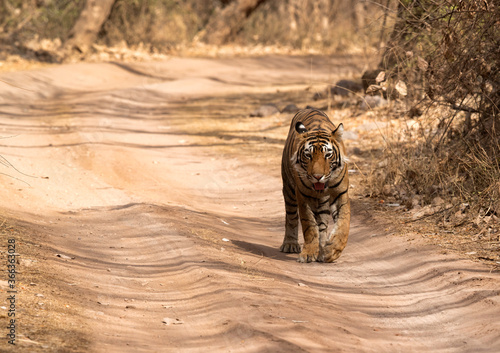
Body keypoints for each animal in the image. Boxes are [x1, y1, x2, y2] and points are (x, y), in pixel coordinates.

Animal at [282, 108, 352, 262]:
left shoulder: (341, 193)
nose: (318, 177)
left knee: (323, 224)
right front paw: (308, 253)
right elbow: (309, 225)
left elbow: (343, 223)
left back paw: (322, 249)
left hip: (322, 202)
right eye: (308, 155)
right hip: (289, 189)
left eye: (328, 155)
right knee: (291, 217)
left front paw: (332, 250)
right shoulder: (302, 196)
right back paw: (290, 244)